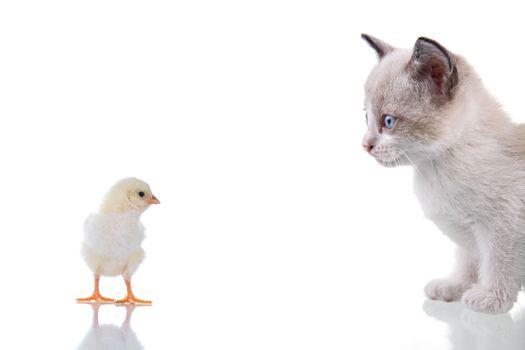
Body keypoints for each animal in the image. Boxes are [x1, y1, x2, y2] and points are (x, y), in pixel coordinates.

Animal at [360, 34, 524, 314]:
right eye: (366, 118)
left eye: (388, 122)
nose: (365, 145)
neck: (435, 168)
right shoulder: (468, 232)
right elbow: (469, 260)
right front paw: (455, 286)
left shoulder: (504, 225)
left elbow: (498, 263)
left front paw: (491, 298)